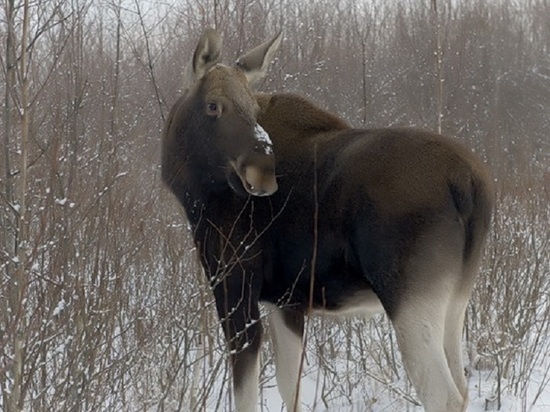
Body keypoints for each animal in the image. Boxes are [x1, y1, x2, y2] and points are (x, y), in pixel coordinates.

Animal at [161, 29, 496, 412]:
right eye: (213, 105)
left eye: (254, 108)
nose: (262, 173)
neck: (192, 189)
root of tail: (471, 186)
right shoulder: (285, 301)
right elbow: (289, 386)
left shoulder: (234, 284)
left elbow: (247, 394)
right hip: (456, 299)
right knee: (462, 383)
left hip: (412, 298)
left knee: (444, 394)